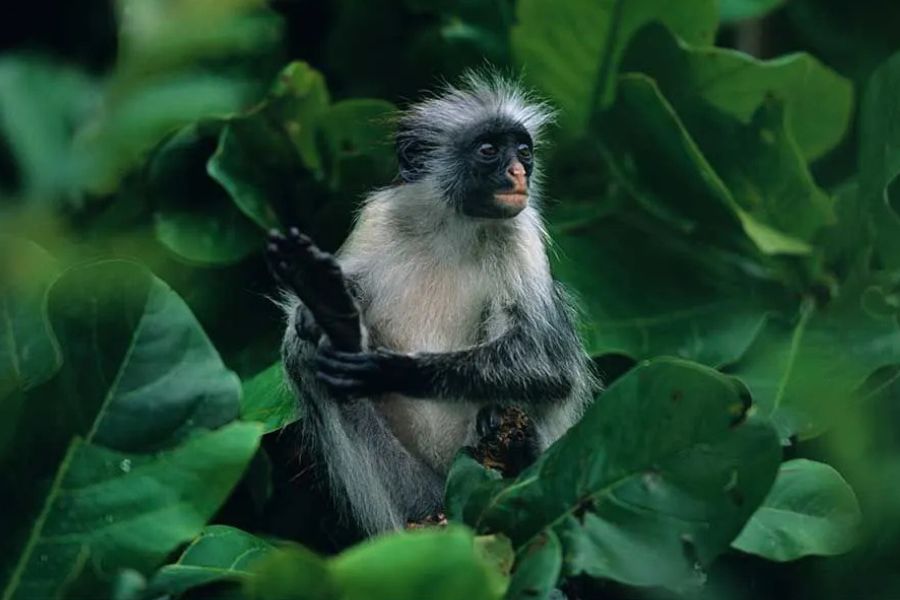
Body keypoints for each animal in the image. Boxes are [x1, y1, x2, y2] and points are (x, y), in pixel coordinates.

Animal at [266, 71, 597, 536]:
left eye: (524, 151)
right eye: (488, 150)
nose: (518, 172)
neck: (452, 227)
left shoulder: (522, 230)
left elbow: (553, 366)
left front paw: (389, 368)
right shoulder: (379, 216)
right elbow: (308, 322)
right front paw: (326, 310)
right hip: (413, 492)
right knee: (301, 352)